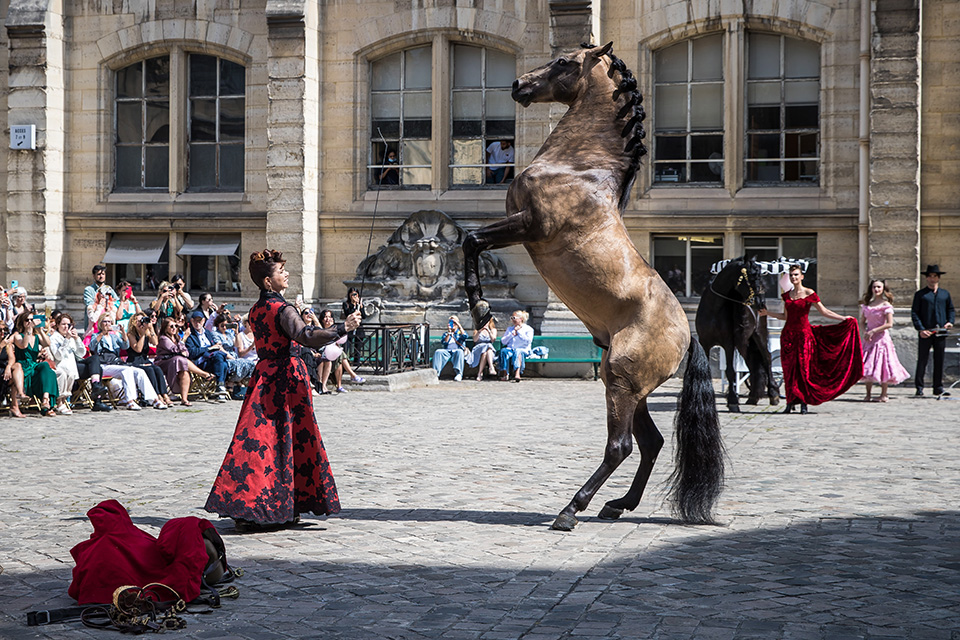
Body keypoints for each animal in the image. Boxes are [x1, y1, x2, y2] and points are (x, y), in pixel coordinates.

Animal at [462, 42, 724, 528]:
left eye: (564, 61)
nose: (519, 85)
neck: (581, 166)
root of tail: (687, 334)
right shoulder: (522, 228)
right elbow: (470, 240)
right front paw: (480, 309)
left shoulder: (529, 226)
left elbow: (470, 240)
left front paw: (481, 309)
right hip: (630, 388)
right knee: (651, 443)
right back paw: (617, 505)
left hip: (620, 382)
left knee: (620, 447)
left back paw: (571, 509)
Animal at [696, 256, 780, 412]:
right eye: (752, 276)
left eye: (760, 274)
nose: (760, 302)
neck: (713, 308)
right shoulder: (704, 343)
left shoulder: (728, 344)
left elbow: (730, 371)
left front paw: (733, 401)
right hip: (745, 344)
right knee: (752, 364)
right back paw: (753, 397)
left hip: (759, 335)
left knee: (767, 359)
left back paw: (773, 394)